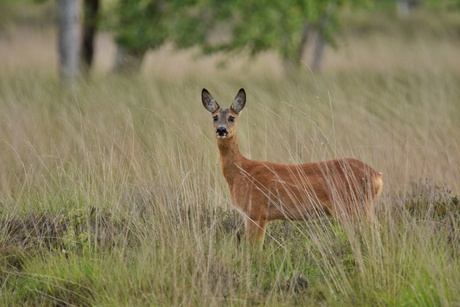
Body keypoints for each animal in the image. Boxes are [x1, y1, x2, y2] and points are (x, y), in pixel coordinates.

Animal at [202, 88, 384, 244]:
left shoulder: (257, 211)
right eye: (215, 117)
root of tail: (377, 176)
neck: (240, 171)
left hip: (353, 206)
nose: (221, 130)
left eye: (231, 117)